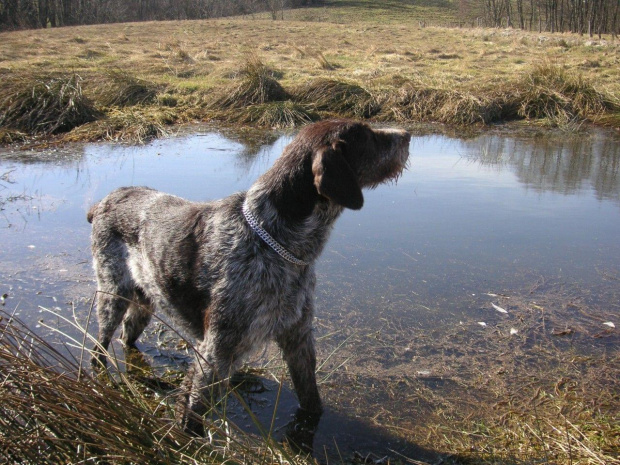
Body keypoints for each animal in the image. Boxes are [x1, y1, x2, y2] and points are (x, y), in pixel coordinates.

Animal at [86, 118, 406, 436]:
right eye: (367, 136)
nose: (406, 135)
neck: (278, 241)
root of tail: (103, 201)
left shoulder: (298, 337)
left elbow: (311, 396)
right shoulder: (216, 351)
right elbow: (193, 409)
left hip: (145, 299)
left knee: (128, 335)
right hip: (112, 293)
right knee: (100, 343)